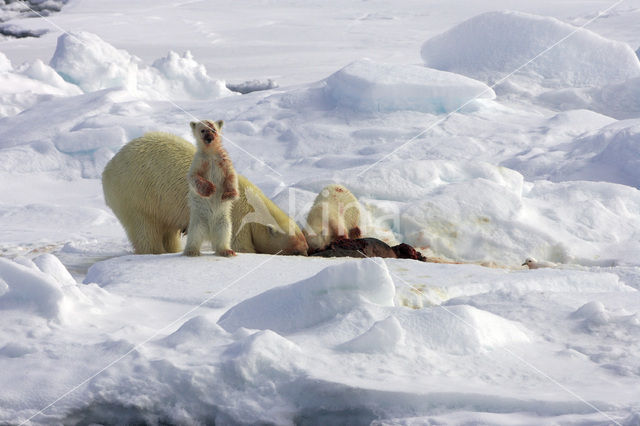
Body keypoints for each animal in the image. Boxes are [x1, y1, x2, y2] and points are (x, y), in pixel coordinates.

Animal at [102, 128, 308, 255]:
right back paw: (154, 251)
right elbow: (239, 244)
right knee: (145, 228)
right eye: (297, 248)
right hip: (136, 195)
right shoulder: (236, 218)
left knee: (168, 231)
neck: (250, 204)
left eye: (303, 239)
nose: (308, 251)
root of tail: (107, 170)